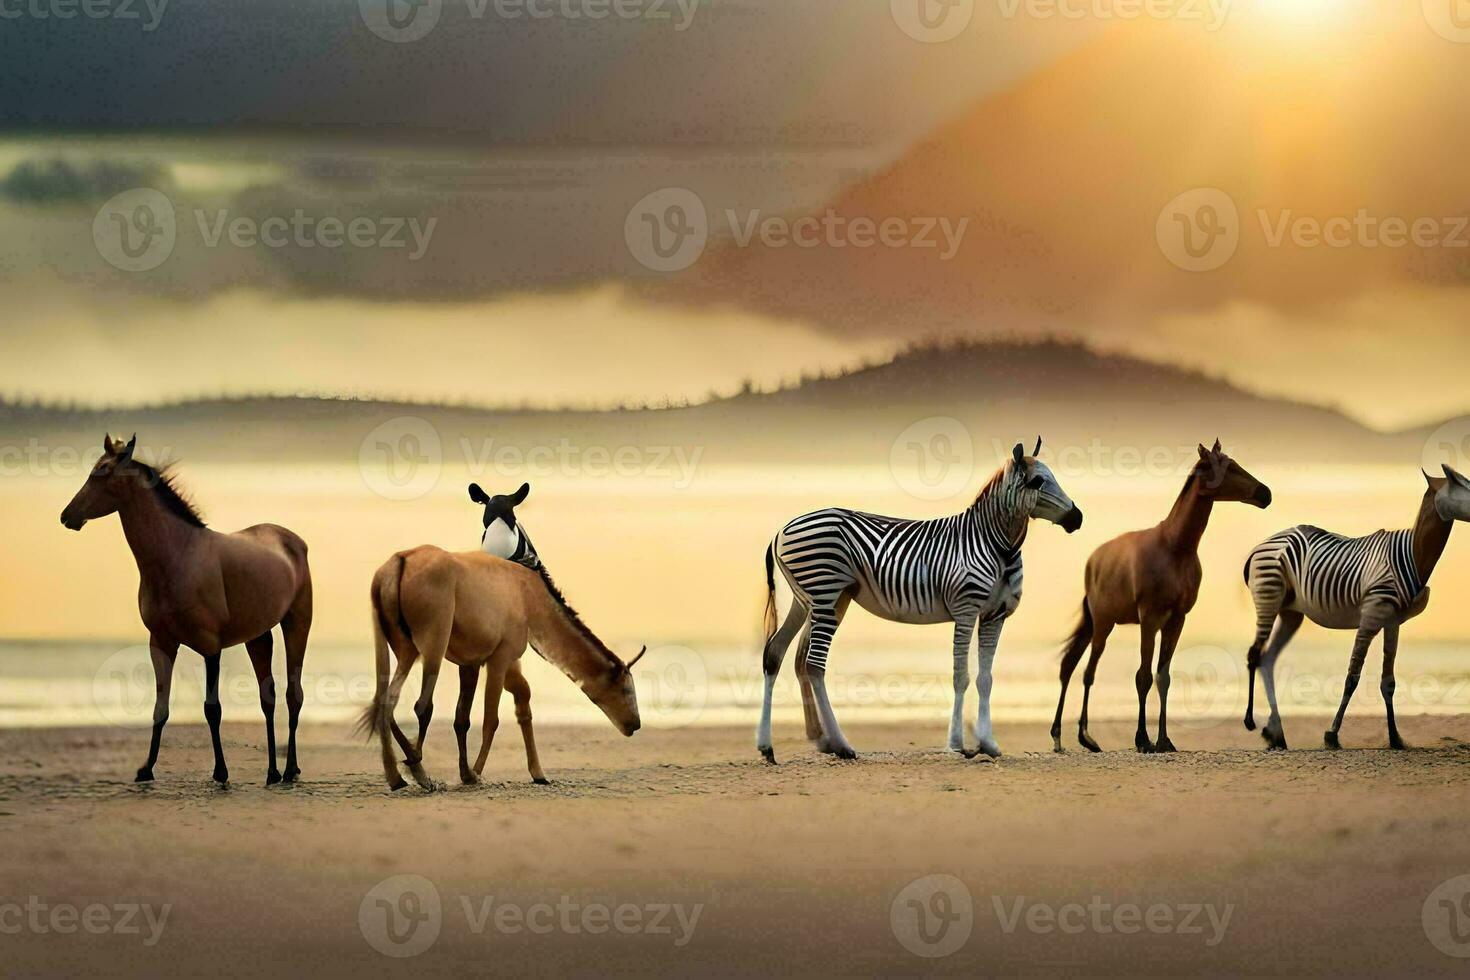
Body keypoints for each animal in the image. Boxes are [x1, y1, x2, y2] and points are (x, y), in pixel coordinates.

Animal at [61, 431, 313, 787]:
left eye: (103, 471)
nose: (67, 516)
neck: (177, 557)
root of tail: (293, 541)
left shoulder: (210, 648)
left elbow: (212, 708)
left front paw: (220, 772)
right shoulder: (161, 643)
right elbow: (160, 707)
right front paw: (146, 769)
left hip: (296, 624)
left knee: (294, 694)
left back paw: (290, 769)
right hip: (258, 636)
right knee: (269, 697)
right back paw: (272, 772)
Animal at [358, 549, 640, 793]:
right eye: (626, 689)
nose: (635, 724)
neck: (530, 599)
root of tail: (399, 561)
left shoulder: (471, 663)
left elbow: (467, 718)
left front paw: (528, 773)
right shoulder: (500, 658)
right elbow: (490, 720)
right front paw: (476, 773)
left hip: (398, 647)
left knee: (386, 700)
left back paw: (396, 777)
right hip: (432, 644)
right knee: (421, 705)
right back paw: (420, 773)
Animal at [758, 437, 1081, 764]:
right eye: (1038, 481)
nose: (1077, 518)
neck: (996, 545)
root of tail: (782, 530)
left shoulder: (995, 615)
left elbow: (985, 679)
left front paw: (988, 743)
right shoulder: (966, 610)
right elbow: (961, 676)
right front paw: (957, 743)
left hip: (815, 600)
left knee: (779, 653)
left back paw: (779, 745)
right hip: (825, 592)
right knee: (813, 664)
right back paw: (840, 744)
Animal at [1052, 440, 1270, 758]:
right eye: (1227, 467)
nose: (1265, 493)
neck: (1175, 548)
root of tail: (1094, 561)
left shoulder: (1175, 620)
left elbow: (1163, 677)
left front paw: (1164, 740)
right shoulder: (1149, 619)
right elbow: (1143, 676)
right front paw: (1143, 739)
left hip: (1101, 624)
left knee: (1073, 666)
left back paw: (1072, 737)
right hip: (1103, 624)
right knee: (1084, 671)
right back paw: (1077, 737)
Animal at [1240, 467, 1470, 752]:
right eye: (1458, 482)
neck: (1413, 554)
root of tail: (1262, 544)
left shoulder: (1393, 622)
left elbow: (1388, 682)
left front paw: (1395, 738)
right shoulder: (1371, 615)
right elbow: (1352, 677)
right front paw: (1332, 735)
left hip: (1290, 612)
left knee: (1268, 658)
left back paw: (1276, 734)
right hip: (1268, 596)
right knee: (1254, 655)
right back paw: (1251, 722)